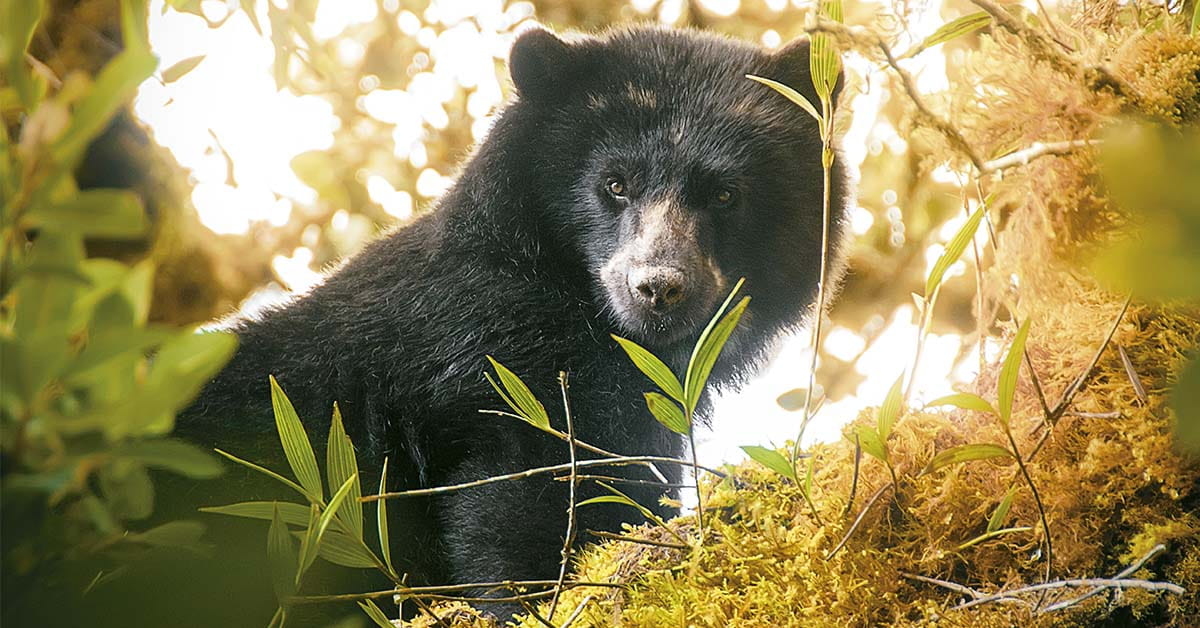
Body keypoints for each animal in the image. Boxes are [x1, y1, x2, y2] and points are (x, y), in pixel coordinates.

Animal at [175, 23, 854, 624]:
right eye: (615, 183)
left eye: (725, 194)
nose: (658, 286)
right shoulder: (500, 350)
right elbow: (526, 499)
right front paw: (533, 601)